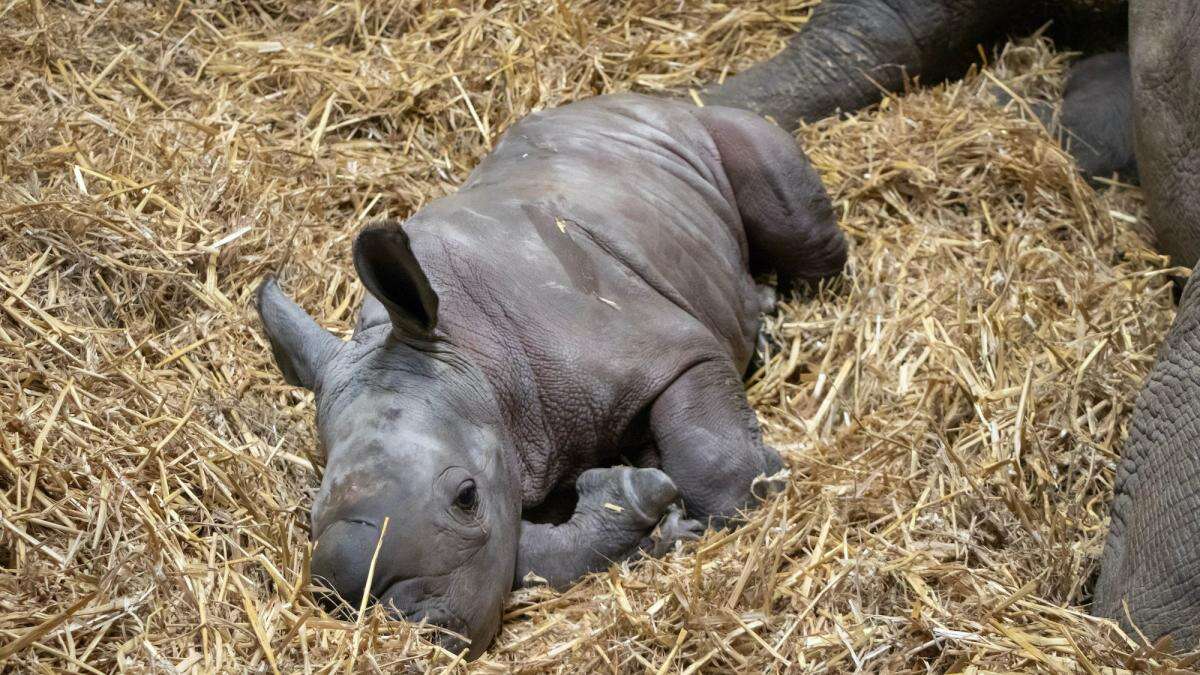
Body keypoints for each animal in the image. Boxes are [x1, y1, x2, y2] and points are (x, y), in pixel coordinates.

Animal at [258, 91, 849, 653]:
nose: (414, 627)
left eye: (466, 497)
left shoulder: (670, 352)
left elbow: (715, 465)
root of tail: (661, 100)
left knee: (794, 220)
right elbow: (524, 555)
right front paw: (656, 521)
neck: (469, 349)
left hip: (707, 140)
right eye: (310, 518)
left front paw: (759, 478)